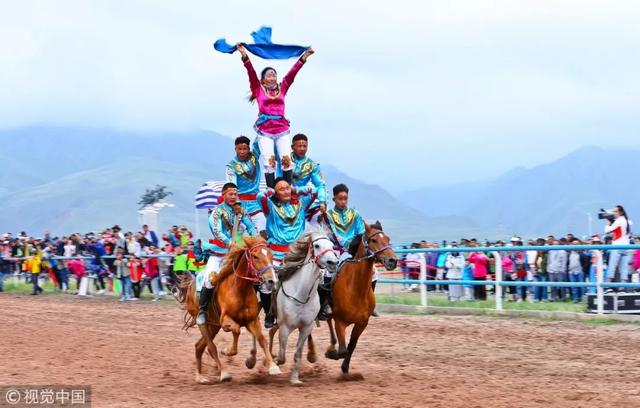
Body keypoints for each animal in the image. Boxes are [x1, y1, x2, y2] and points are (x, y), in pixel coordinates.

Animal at [178, 236, 282, 382]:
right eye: (255, 256)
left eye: (271, 255)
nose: (272, 281)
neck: (240, 289)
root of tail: (190, 285)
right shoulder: (226, 320)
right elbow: (237, 330)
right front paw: (227, 351)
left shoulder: (252, 321)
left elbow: (262, 340)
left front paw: (273, 367)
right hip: (202, 322)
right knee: (211, 347)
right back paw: (223, 373)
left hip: (213, 326)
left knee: (199, 346)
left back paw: (200, 376)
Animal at [268, 231, 340, 384]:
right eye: (317, 245)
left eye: (332, 245)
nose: (333, 263)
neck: (300, 295)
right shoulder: (285, 328)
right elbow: (282, 356)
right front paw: (275, 363)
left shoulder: (306, 327)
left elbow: (298, 353)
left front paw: (295, 379)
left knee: (271, 332)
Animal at [324, 222, 396, 374]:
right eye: (374, 240)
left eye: (387, 238)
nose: (393, 260)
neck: (356, 290)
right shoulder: (340, 321)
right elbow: (343, 350)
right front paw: (331, 353)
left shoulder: (362, 323)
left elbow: (351, 346)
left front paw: (345, 368)